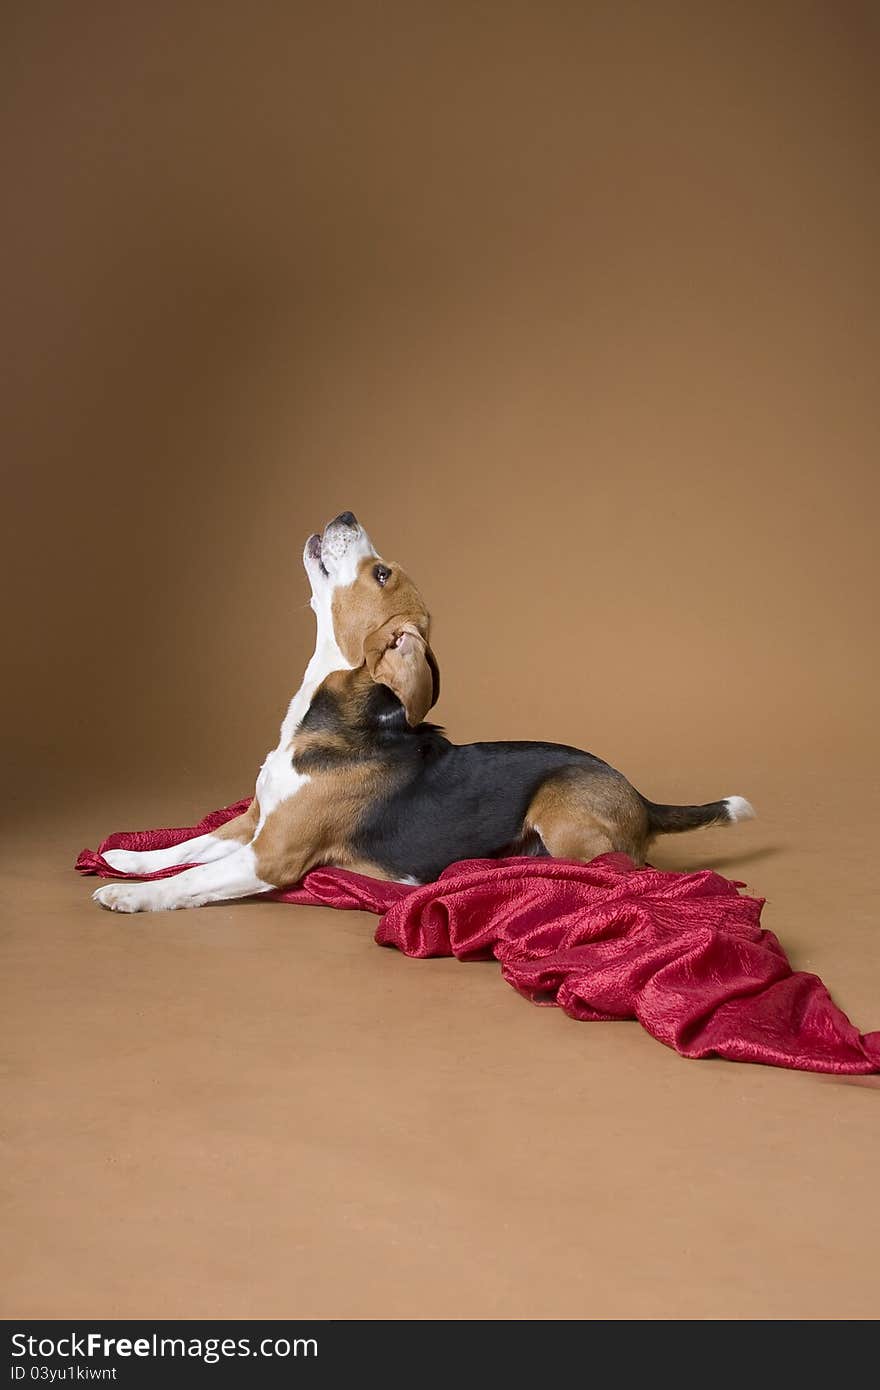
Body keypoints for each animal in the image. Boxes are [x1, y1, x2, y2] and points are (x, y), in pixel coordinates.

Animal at [98, 514, 756, 911]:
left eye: (381, 572)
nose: (346, 515)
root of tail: (640, 797)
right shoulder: (256, 819)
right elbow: (190, 843)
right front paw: (127, 858)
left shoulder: (272, 853)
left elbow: (194, 877)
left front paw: (130, 895)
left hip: (561, 814)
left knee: (621, 870)